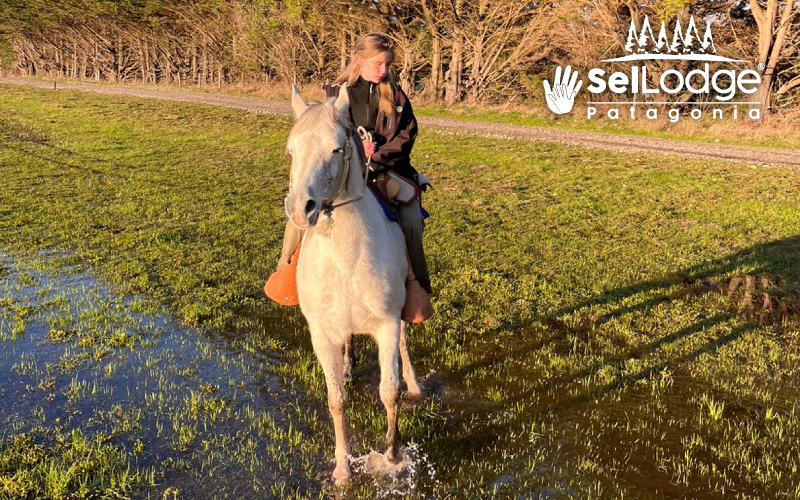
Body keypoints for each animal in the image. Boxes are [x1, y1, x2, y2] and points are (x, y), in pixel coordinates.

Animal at [286, 84, 424, 482]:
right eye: (291, 149)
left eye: (336, 148)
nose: (300, 208)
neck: (345, 259)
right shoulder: (321, 332)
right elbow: (336, 400)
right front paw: (343, 468)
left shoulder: (387, 325)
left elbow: (389, 391)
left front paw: (392, 456)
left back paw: (415, 385)